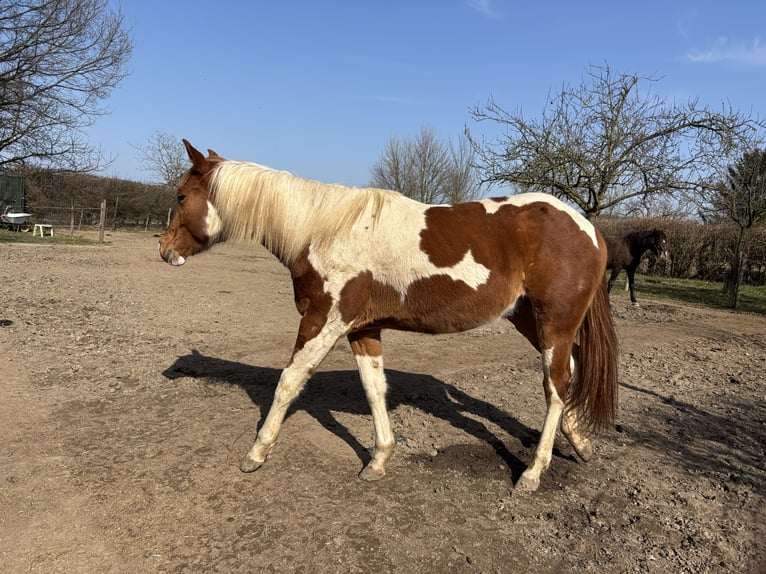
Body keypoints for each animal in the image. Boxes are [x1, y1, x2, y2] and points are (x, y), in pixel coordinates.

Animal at [159, 141, 620, 496]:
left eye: (181, 196)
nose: (165, 250)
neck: (322, 229)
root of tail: (588, 227)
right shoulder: (363, 329)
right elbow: (373, 388)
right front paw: (378, 459)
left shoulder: (324, 320)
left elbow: (290, 379)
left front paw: (256, 452)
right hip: (530, 320)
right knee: (569, 372)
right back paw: (579, 443)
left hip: (554, 322)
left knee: (555, 387)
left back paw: (533, 473)